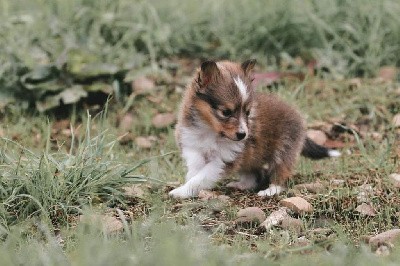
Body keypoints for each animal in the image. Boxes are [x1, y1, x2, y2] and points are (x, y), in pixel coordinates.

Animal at [167, 59, 340, 198]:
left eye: (248, 112)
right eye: (226, 112)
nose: (243, 135)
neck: (210, 131)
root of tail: (297, 114)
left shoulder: (223, 160)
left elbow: (201, 177)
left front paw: (182, 191)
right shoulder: (192, 147)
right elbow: (195, 171)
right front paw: (188, 185)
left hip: (283, 150)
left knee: (281, 174)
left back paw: (270, 190)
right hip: (252, 156)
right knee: (254, 175)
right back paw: (240, 185)